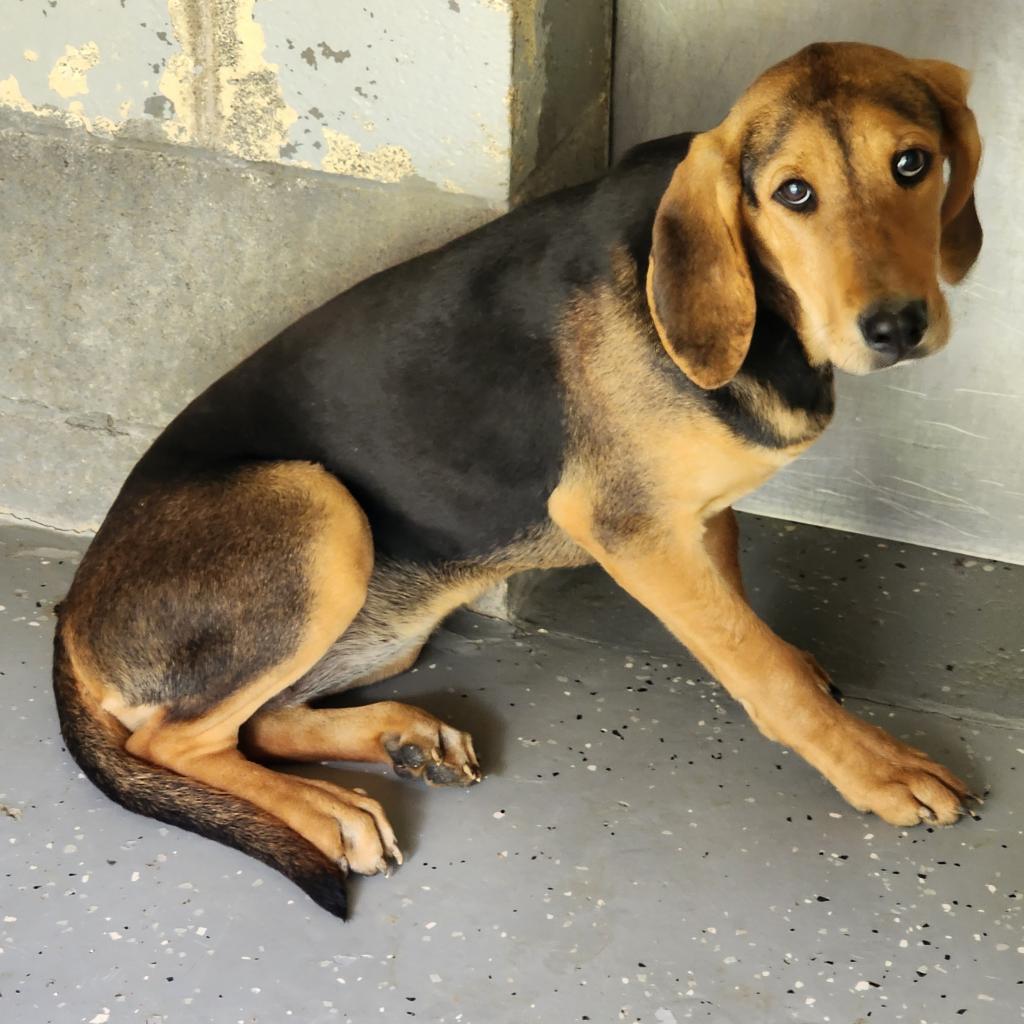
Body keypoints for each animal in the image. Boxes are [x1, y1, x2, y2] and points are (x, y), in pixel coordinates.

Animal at [54, 41, 983, 921]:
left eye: (912, 163)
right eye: (793, 193)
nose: (897, 327)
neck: (769, 320)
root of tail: (71, 618)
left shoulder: (702, 518)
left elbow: (748, 623)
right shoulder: (630, 530)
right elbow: (762, 670)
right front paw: (875, 767)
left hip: (385, 629)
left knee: (262, 724)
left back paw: (400, 739)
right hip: (318, 510)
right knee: (174, 745)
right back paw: (326, 811)